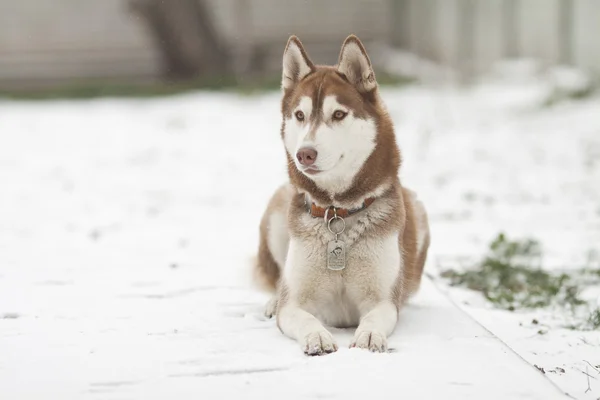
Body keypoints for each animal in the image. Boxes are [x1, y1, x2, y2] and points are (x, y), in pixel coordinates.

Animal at [255, 33, 428, 354]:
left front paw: (370, 335)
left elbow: (375, 316)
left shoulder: (383, 300)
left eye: (338, 114)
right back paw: (272, 300)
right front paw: (317, 336)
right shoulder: (295, 303)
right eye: (300, 115)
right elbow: (302, 316)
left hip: (419, 211)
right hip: (276, 211)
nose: (304, 154)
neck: (338, 212)